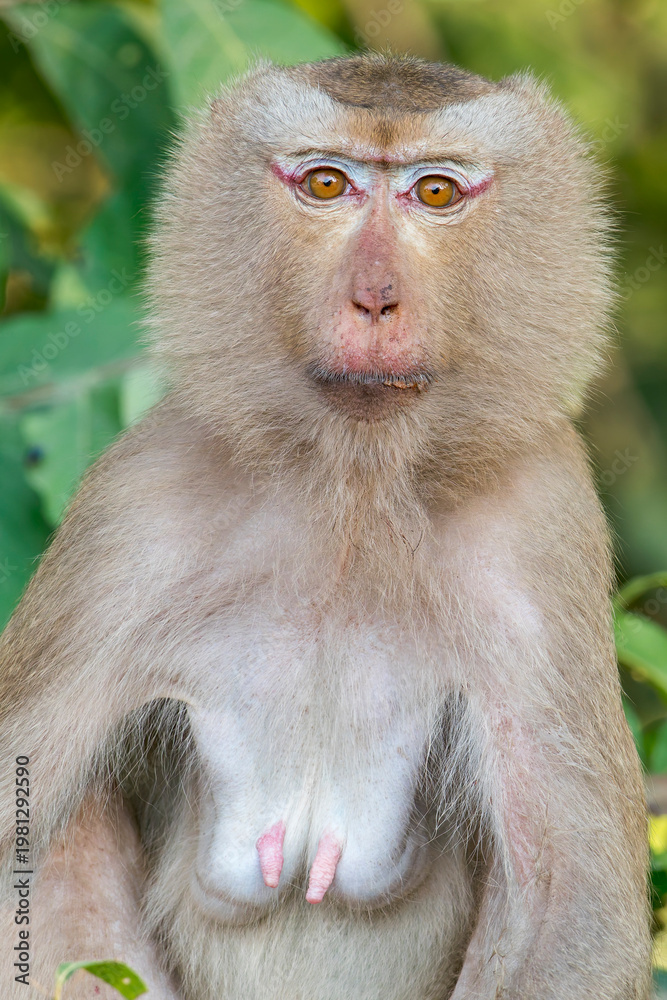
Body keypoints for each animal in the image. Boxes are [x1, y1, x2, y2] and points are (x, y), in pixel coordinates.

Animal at [0, 53, 652, 1000]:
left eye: (436, 193)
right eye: (325, 184)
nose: (374, 298)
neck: (355, 490)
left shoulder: (541, 516)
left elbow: (571, 909)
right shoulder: (134, 506)